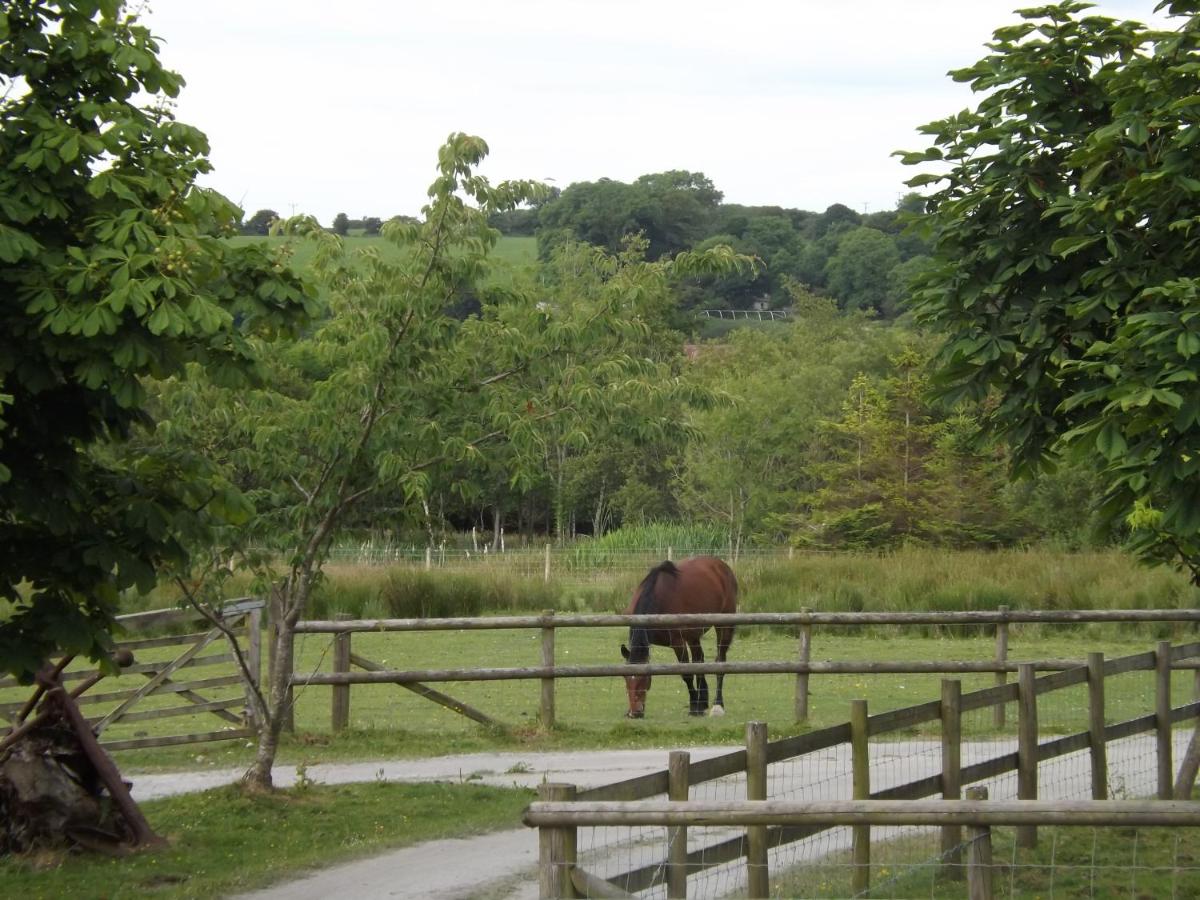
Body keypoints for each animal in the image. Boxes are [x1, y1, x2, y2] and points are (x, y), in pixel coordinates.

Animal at [624, 556, 734, 720]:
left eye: (644, 678)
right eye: (625, 678)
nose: (635, 713)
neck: (657, 599)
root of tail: (720, 564)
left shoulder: (678, 643)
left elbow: (686, 674)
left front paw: (694, 707)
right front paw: (698, 705)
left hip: (724, 626)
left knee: (720, 662)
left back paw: (717, 705)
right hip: (693, 635)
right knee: (699, 660)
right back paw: (703, 702)